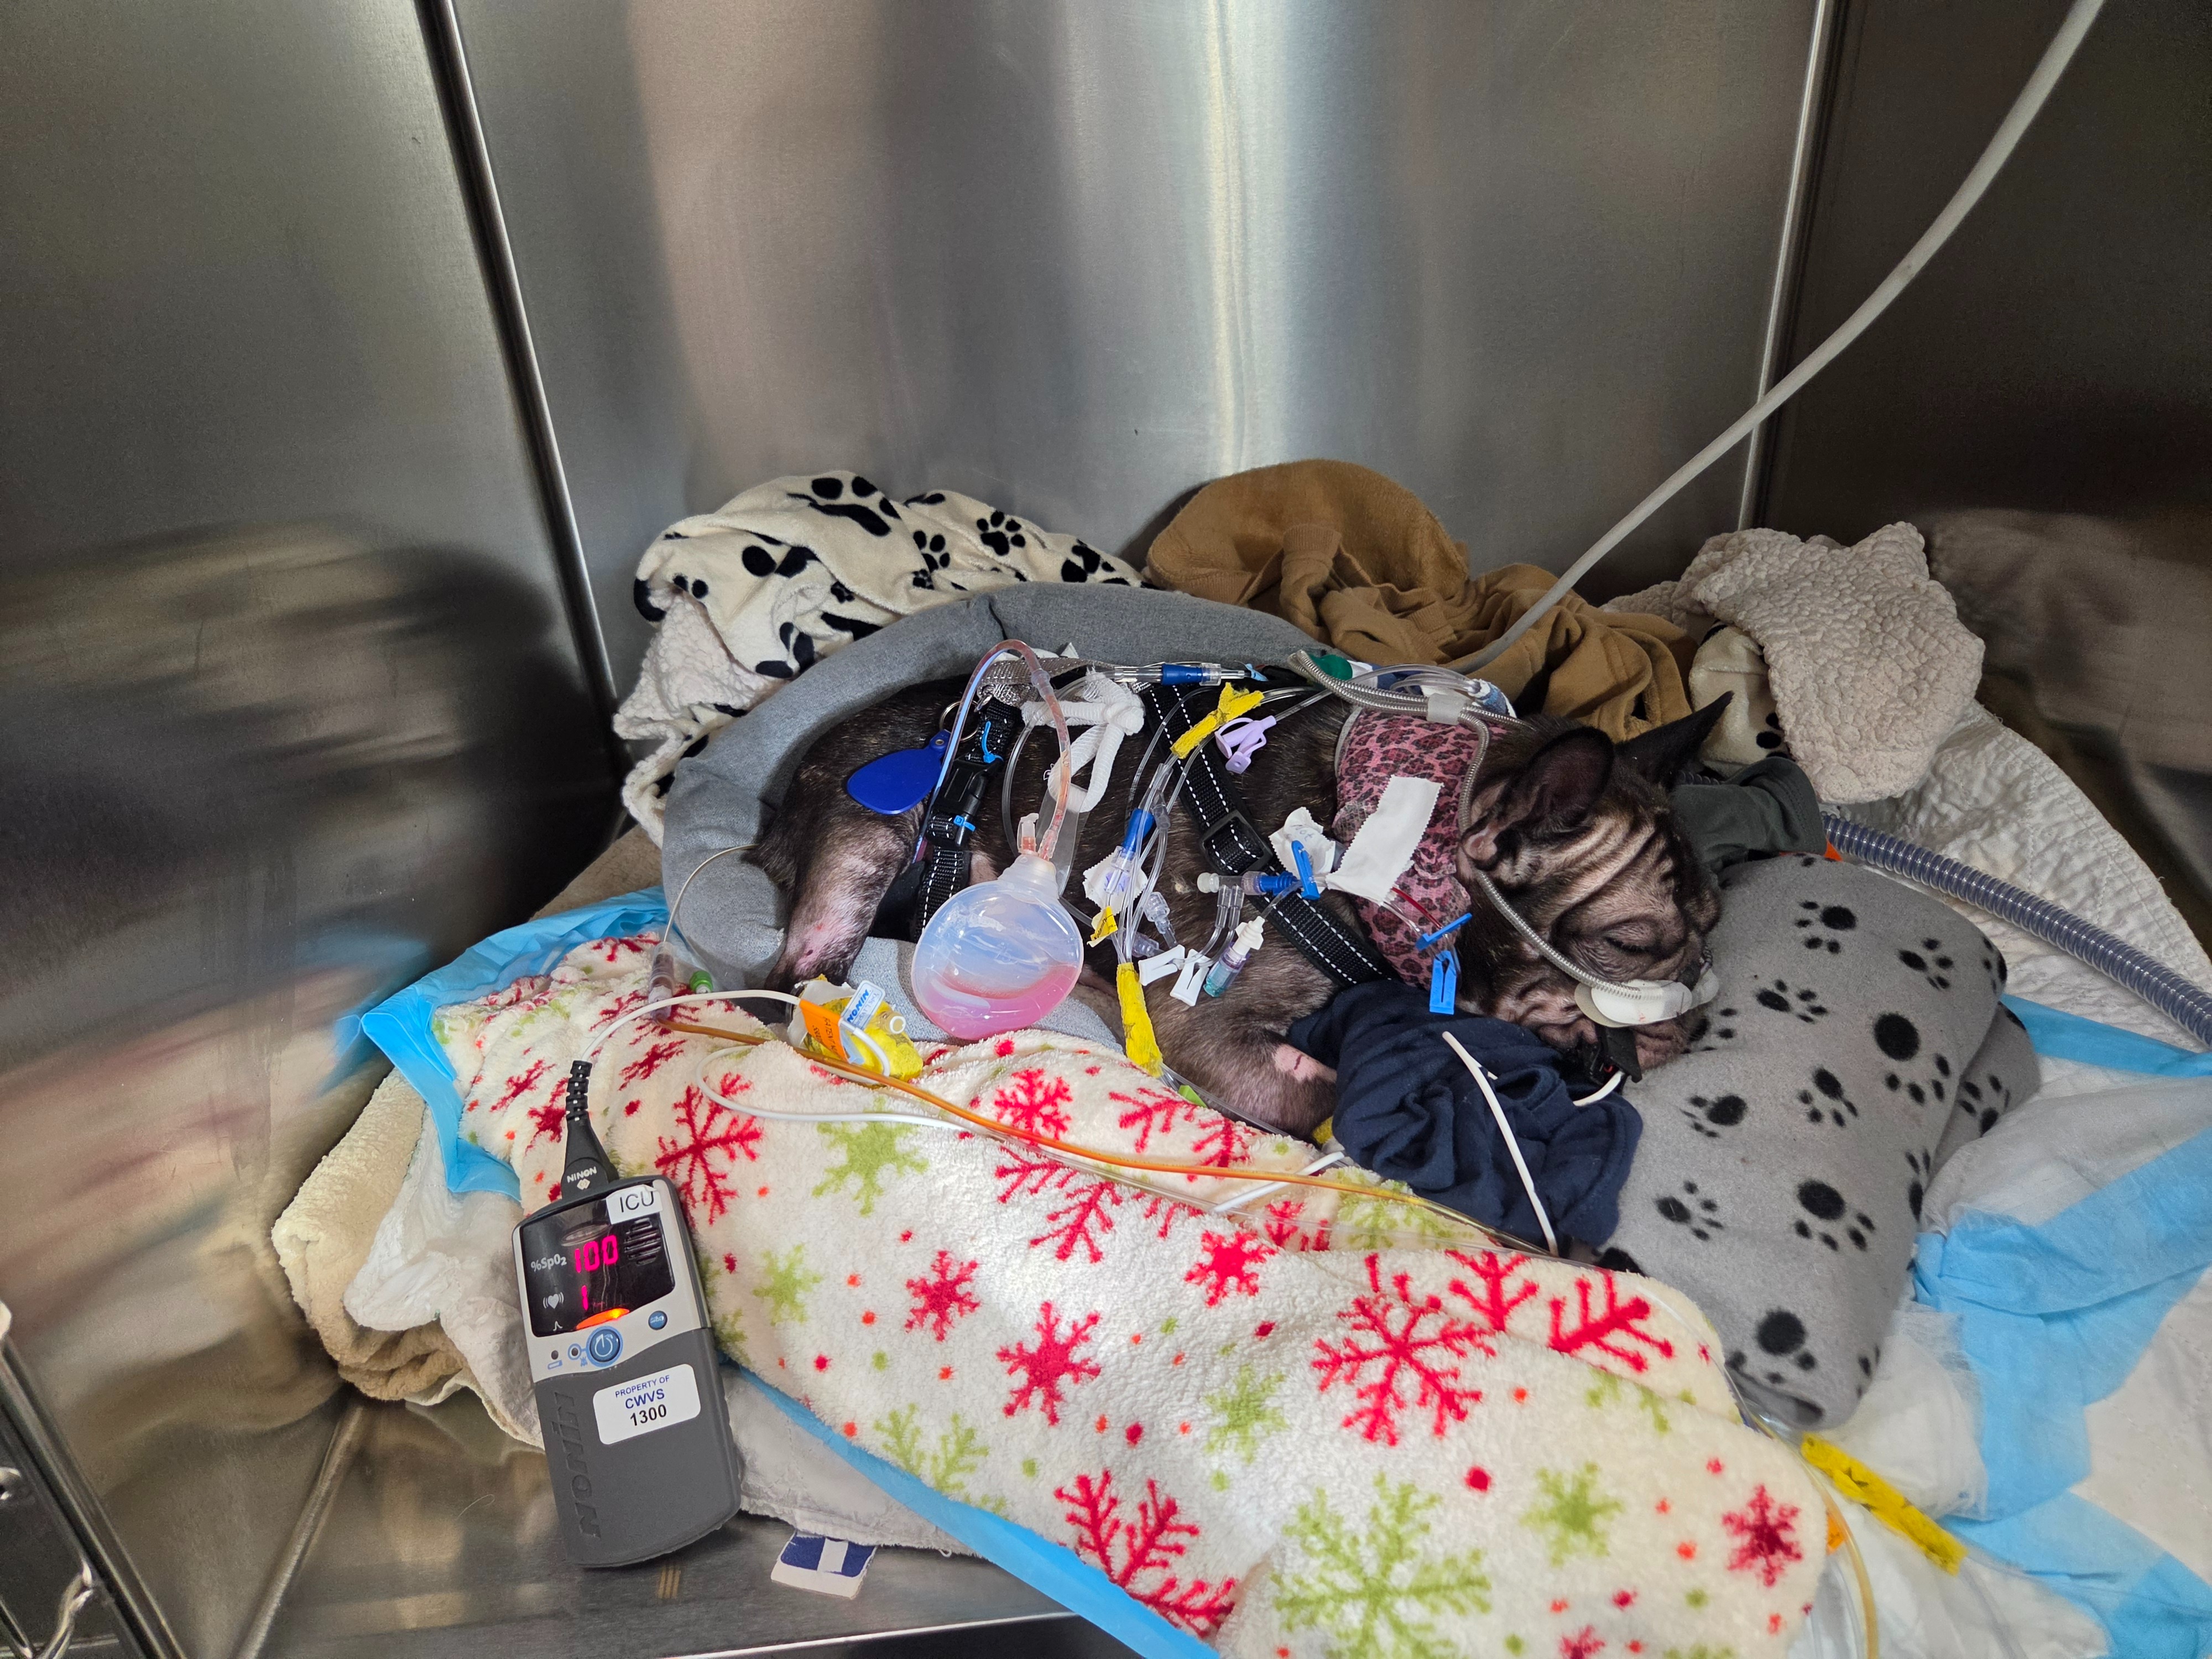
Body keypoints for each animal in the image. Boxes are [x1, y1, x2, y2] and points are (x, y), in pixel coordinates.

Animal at [754, 677, 1725, 1137]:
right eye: (1627, 945)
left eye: (1714, 929)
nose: (1695, 1022)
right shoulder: (1211, 1029)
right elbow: (1321, 1096)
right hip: (861, 854)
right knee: (794, 981)